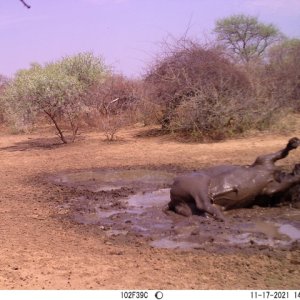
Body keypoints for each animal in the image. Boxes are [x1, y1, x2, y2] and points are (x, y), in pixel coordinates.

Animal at [166, 138, 300, 220]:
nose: (297, 165)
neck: (274, 173)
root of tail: (173, 198)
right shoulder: (264, 159)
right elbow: (281, 154)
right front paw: (293, 142)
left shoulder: (270, 189)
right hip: (199, 181)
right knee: (202, 203)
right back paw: (222, 218)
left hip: (187, 205)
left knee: (200, 208)